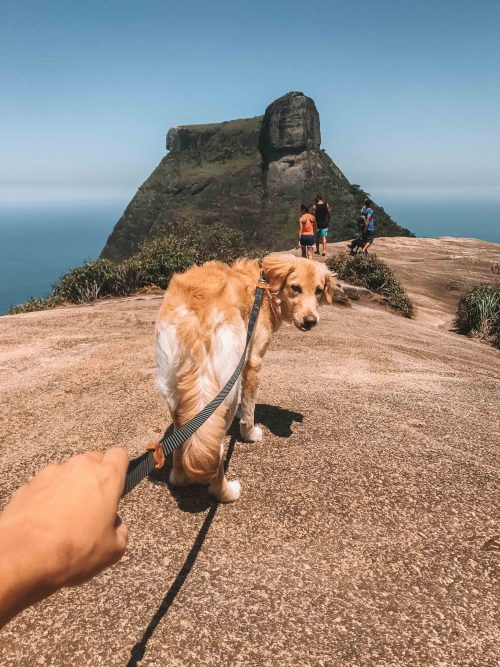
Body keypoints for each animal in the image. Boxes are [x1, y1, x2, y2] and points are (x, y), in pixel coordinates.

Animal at [155, 253, 336, 504]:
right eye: (295, 288)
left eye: (318, 290)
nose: (310, 321)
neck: (265, 288)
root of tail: (194, 317)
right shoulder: (252, 361)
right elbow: (250, 406)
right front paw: (250, 433)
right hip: (223, 395)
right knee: (217, 449)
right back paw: (226, 493)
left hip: (174, 388)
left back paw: (179, 478)